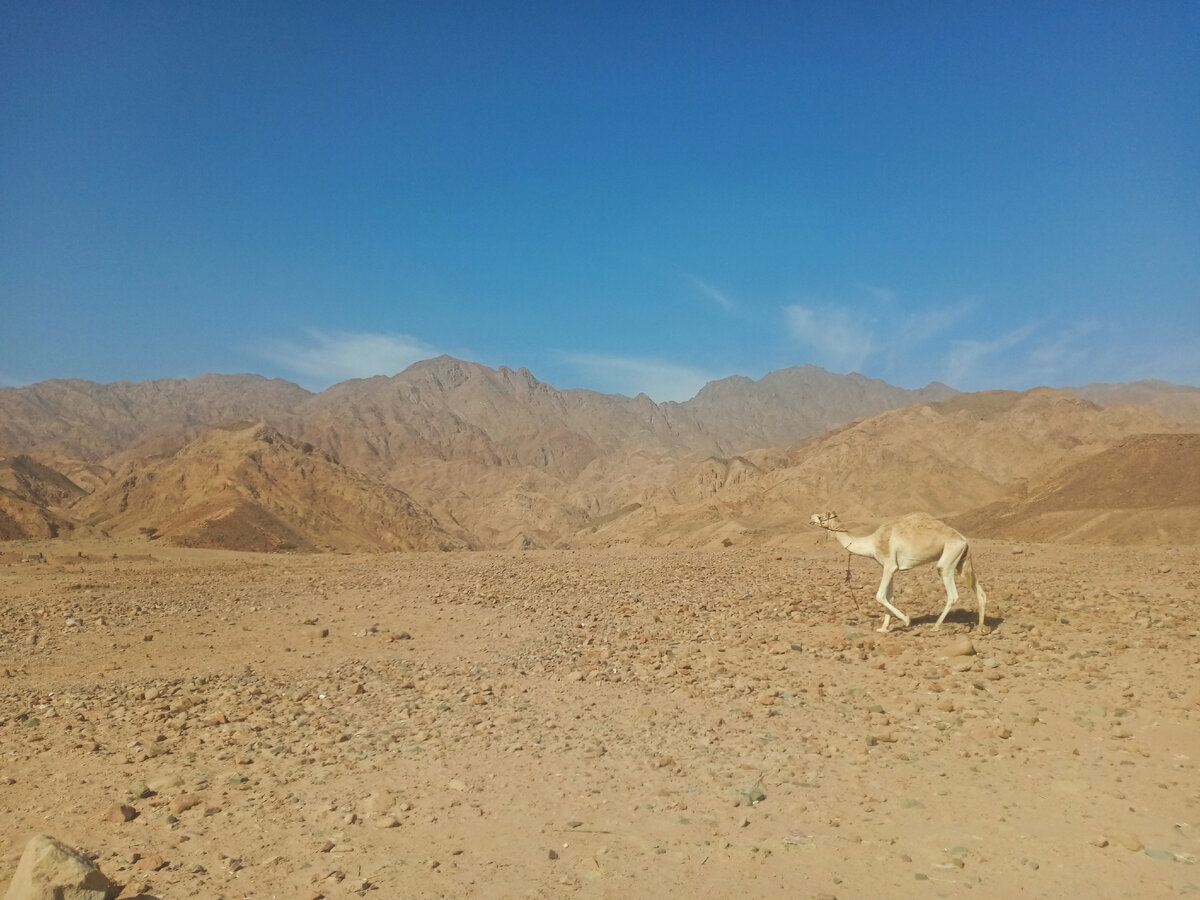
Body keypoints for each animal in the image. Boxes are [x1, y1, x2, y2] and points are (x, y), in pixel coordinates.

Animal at [811, 513, 988, 633]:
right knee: (980, 593)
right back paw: (980, 628)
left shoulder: (889, 565)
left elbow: (880, 596)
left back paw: (936, 626)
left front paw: (907, 620)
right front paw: (884, 628)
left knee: (952, 594)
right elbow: (889, 597)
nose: (810, 518)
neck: (872, 543)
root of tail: (964, 540)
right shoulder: (890, 568)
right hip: (961, 562)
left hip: (948, 560)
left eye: (821, 516)